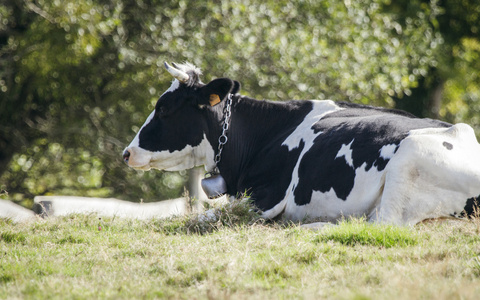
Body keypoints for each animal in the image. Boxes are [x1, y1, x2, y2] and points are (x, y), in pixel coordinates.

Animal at [122, 62, 480, 225]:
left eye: (164, 108)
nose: (127, 152)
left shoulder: (264, 198)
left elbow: (195, 217)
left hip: (408, 160)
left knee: (383, 224)